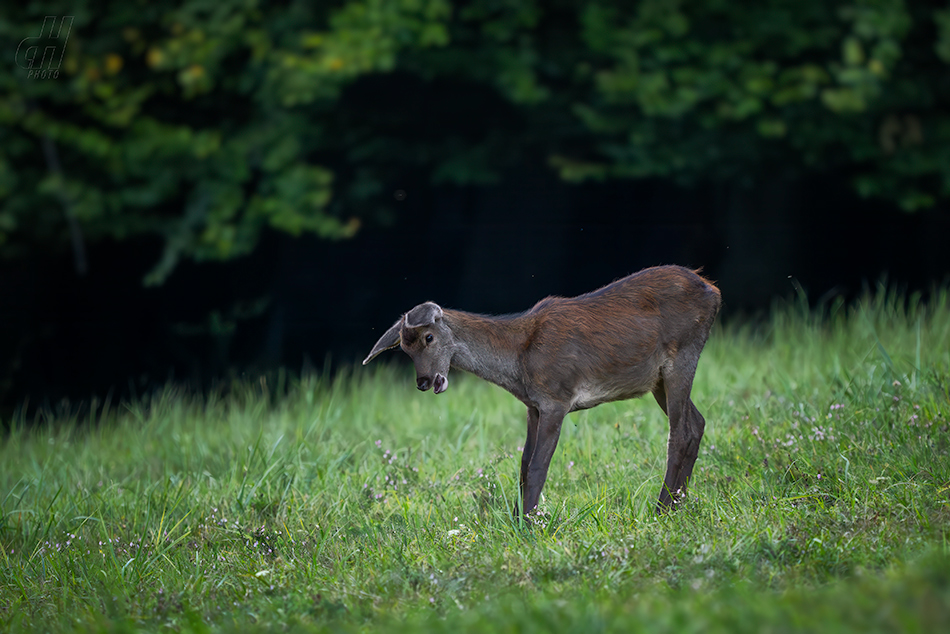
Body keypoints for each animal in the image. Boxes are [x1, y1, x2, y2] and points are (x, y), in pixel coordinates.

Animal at [362, 262, 720, 512]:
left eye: (429, 337)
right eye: (404, 349)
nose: (423, 381)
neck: (519, 363)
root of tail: (713, 290)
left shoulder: (556, 397)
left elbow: (537, 467)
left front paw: (530, 525)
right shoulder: (533, 406)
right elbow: (522, 466)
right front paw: (518, 519)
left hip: (682, 355)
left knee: (680, 432)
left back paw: (662, 508)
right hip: (657, 379)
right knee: (698, 422)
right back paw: (678, 502)